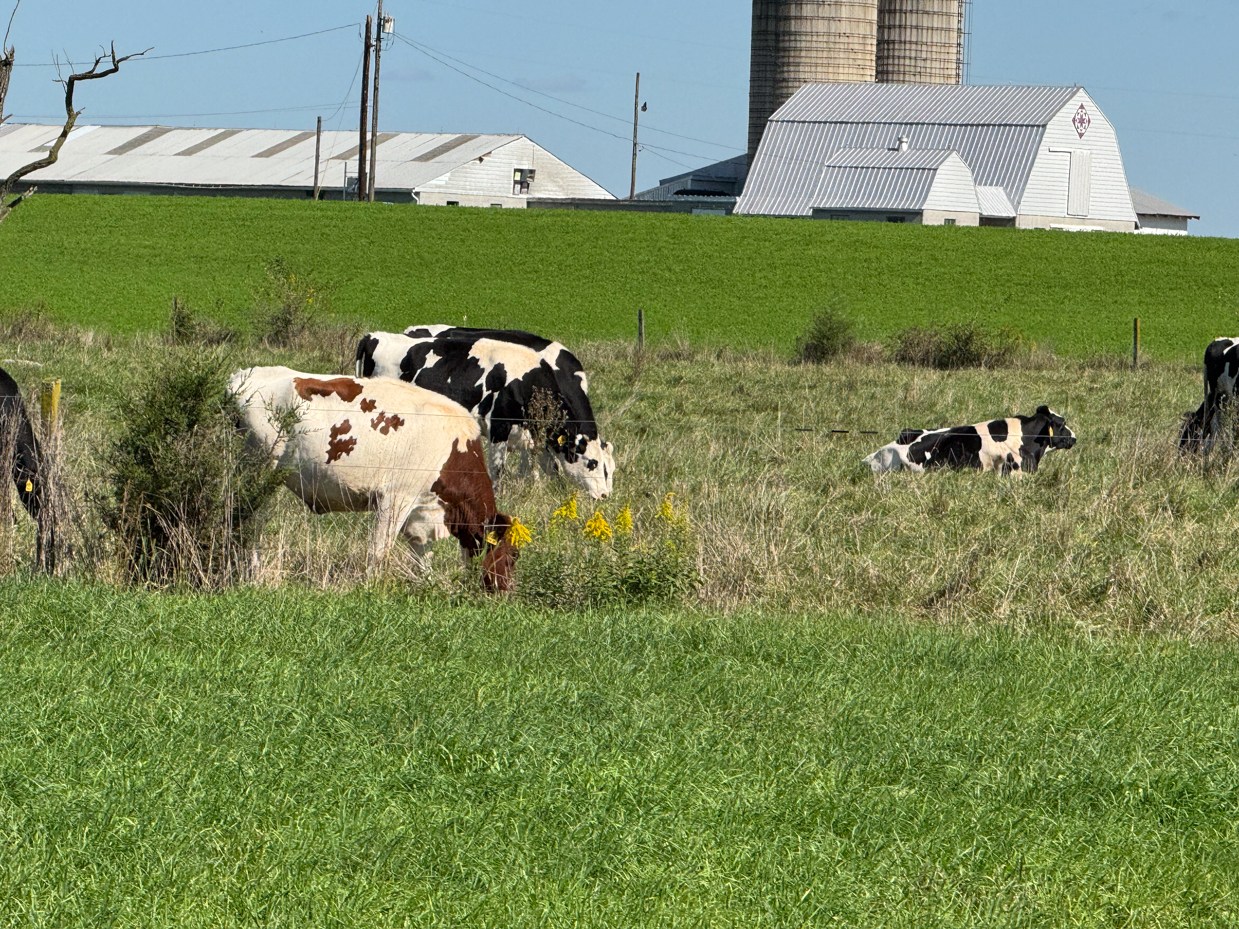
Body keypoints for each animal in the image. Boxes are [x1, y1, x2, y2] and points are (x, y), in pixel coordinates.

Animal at [229, 366, 517, 592]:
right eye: (513, 556)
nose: (505, 592)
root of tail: (242, 375)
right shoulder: (395, 498)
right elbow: (380, 549)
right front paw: (372, 587)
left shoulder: (422, 510)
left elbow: (422, 555)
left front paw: (427, 584)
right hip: (258, 471)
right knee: (249, 523)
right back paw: (252, 574)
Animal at [354, 329, 614, 502]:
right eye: (592, 462)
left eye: (609, 469)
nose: (604, 495)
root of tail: (374, 335)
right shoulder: (499, 427)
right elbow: (498, 470)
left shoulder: (533, 435)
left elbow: (543, 465)